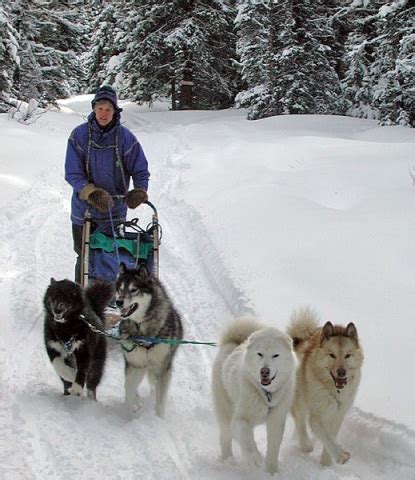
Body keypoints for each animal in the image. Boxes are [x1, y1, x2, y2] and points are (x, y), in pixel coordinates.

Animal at [115, 262, 184, 416]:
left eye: (134, 289)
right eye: (120, 289)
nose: (118, 302)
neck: (142, 329)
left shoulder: (163, 368)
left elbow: (160, 400)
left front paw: (158, 418)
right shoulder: (135, 364)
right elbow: (128, 387)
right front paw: (134, 406)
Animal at [213, 316, 298, 474]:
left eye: (275, 355)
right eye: (260, 354)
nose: (264, 371)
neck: (265, 394)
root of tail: (233, 342)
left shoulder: (276, 421)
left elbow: (273, 448)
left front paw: (272, 471)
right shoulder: (240, 418)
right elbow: (245, 436)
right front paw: (254, 458)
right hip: (225, 410)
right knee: (225, 437)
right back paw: (228, 459)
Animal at [286, 306, 364, 466]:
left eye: (347, 355)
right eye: (332, 355)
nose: (341, 372)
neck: (333, 391)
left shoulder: (338, 414)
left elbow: (331, 437)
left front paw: (326, 461)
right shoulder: (317, 416)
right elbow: (326, 437)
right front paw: (340, 456)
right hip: (300, 399)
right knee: (300, 421)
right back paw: (305, 444)